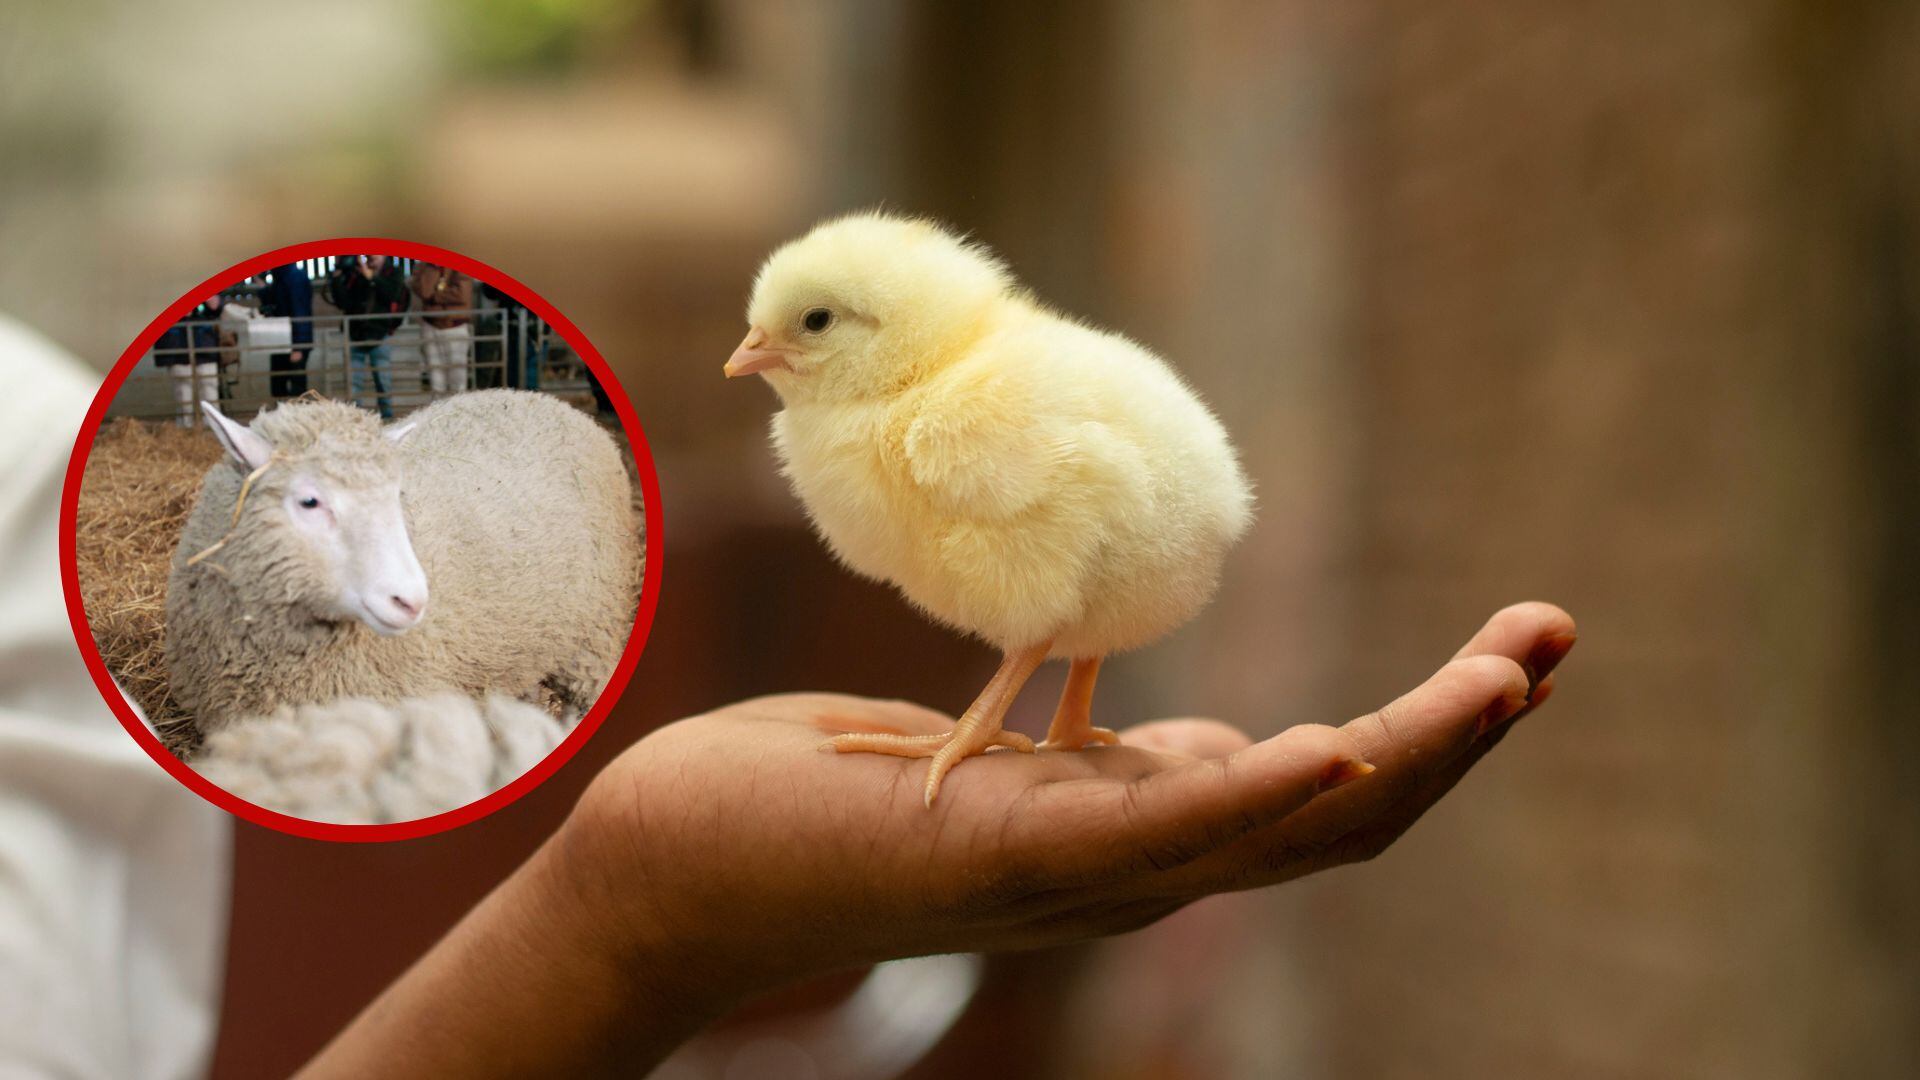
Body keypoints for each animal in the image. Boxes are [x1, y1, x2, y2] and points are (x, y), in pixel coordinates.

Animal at [164, 389, 641, 733]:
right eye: (310, 501)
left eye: (397, 495)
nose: (411, 601)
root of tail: (549, 400)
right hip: (523, 648)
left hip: (593, 636)